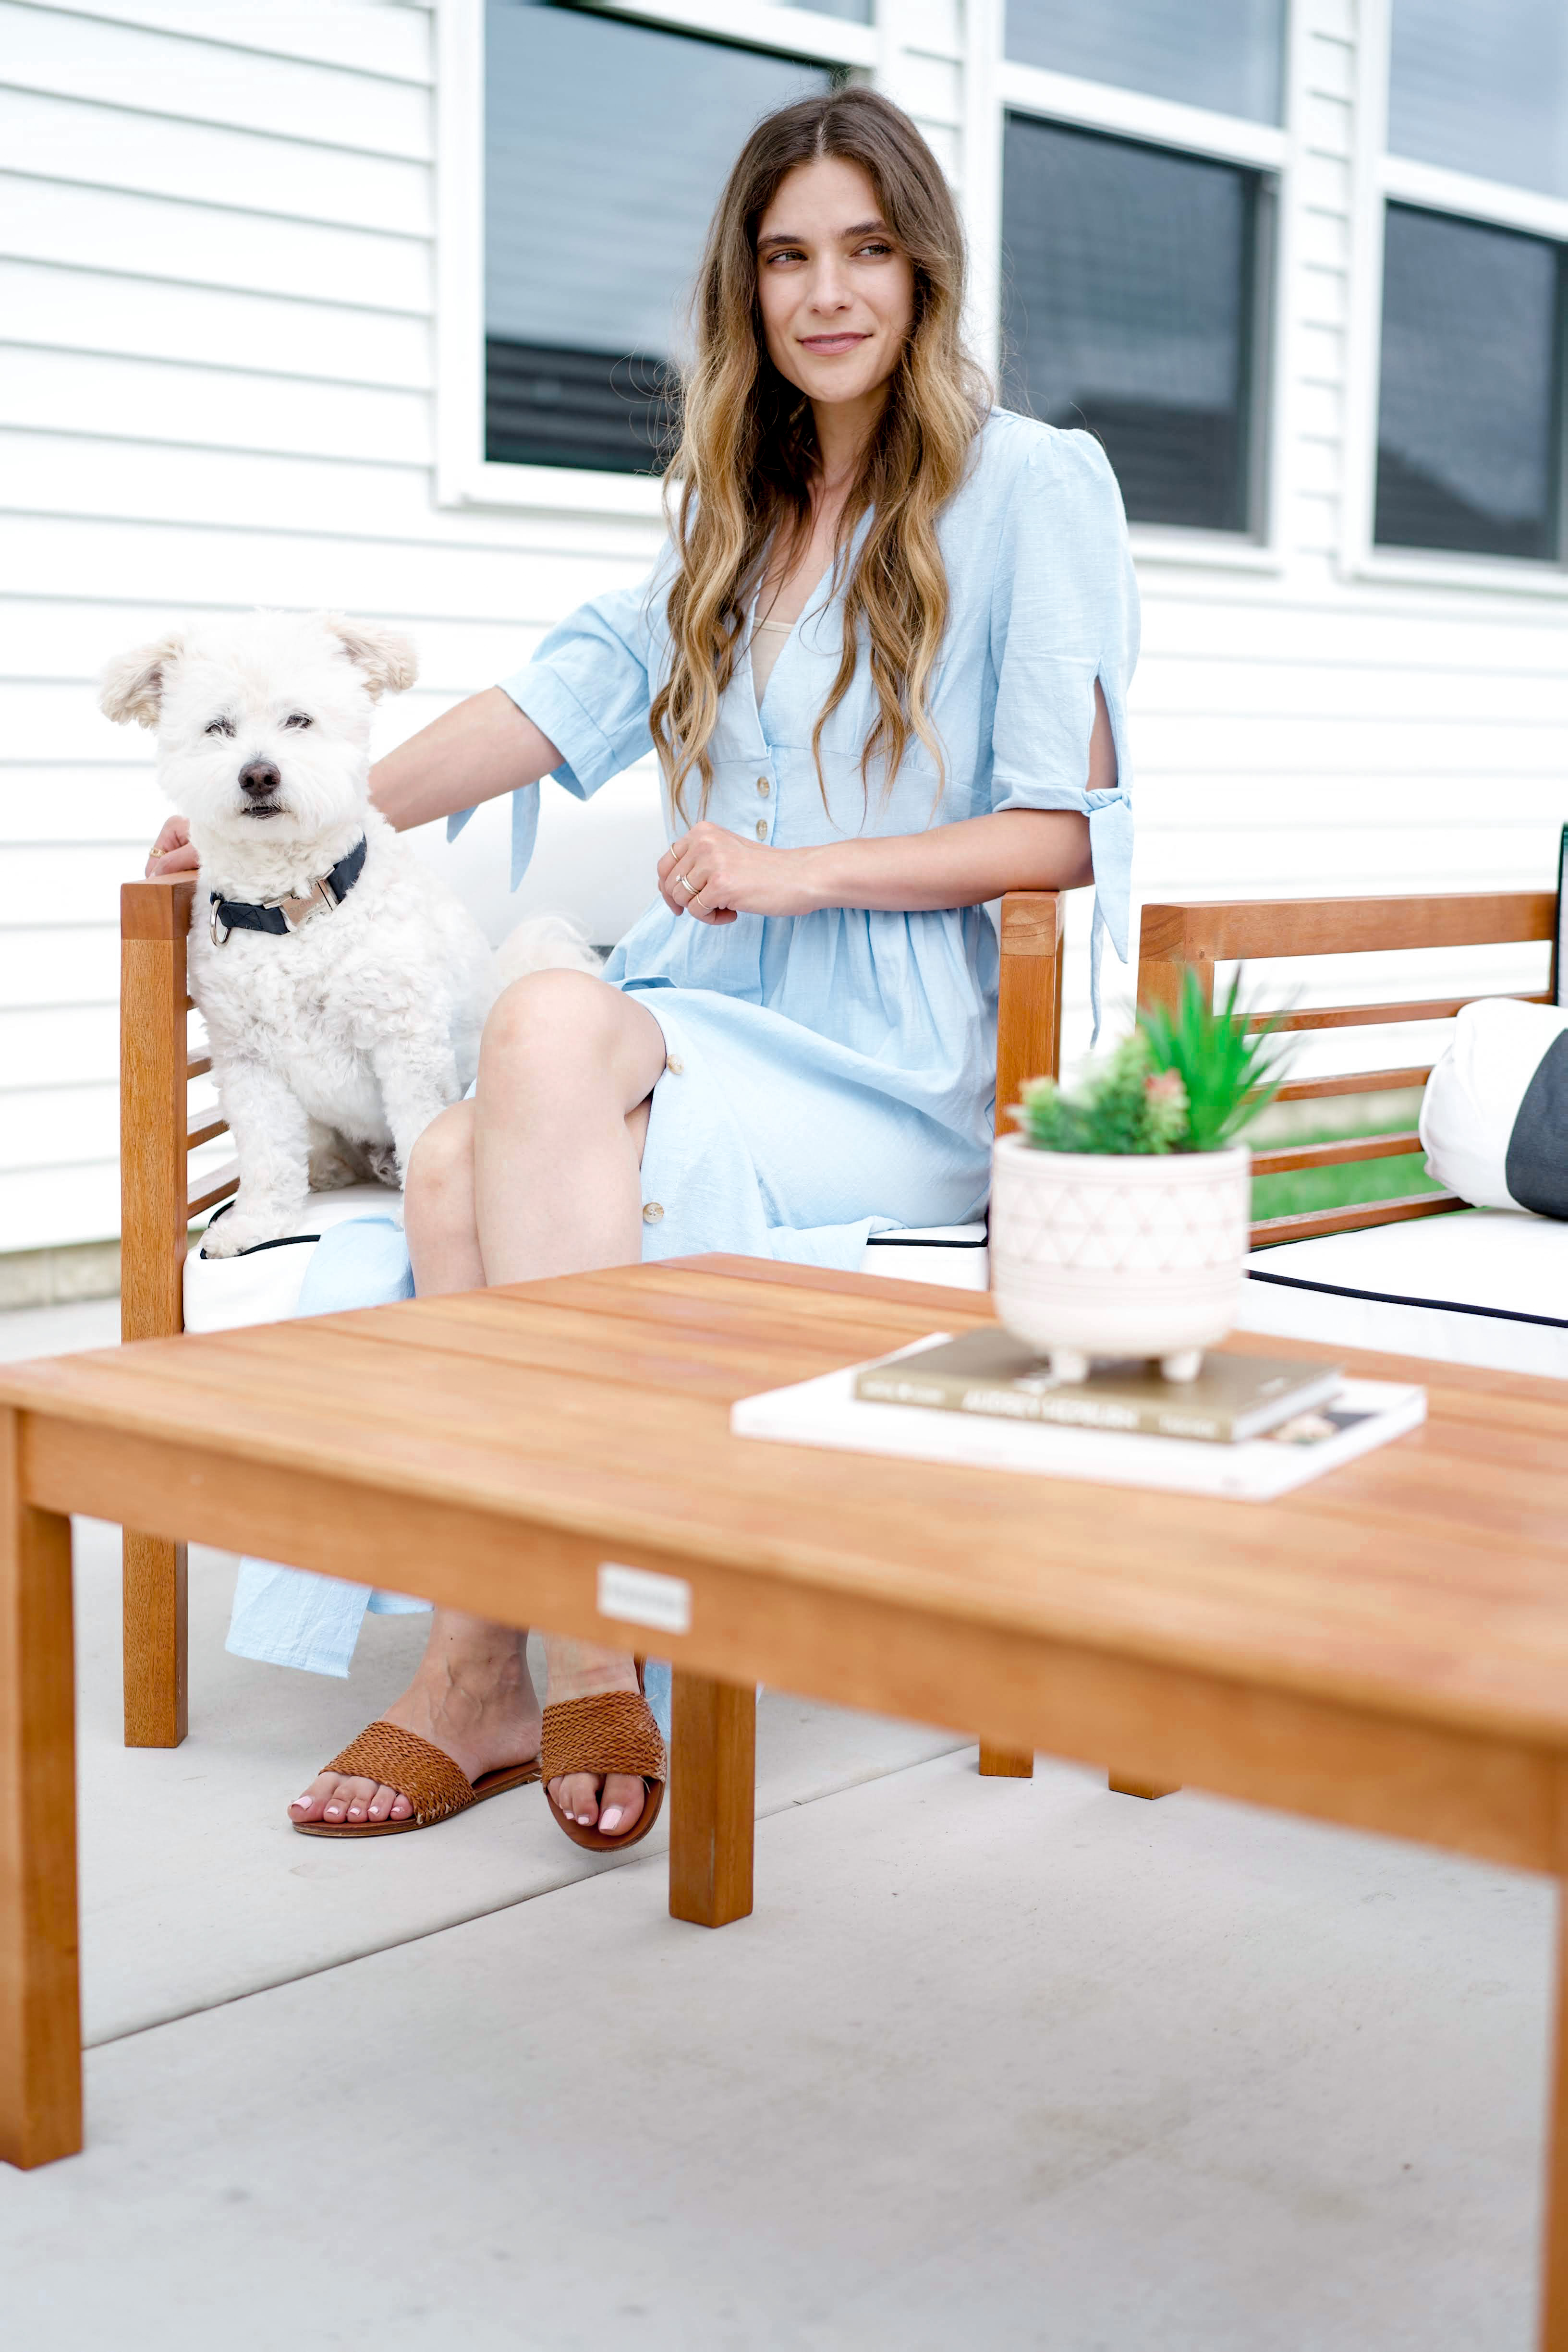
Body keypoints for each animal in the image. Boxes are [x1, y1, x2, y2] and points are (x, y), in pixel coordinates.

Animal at [100, 616, 602, 1261]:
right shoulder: (247, 1062)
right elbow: (267, 1155)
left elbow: (420, 1127)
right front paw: (258, 1223)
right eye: (218, 727)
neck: (291, 909)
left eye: (299, 720)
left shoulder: (406, 1042)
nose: (258, 774)